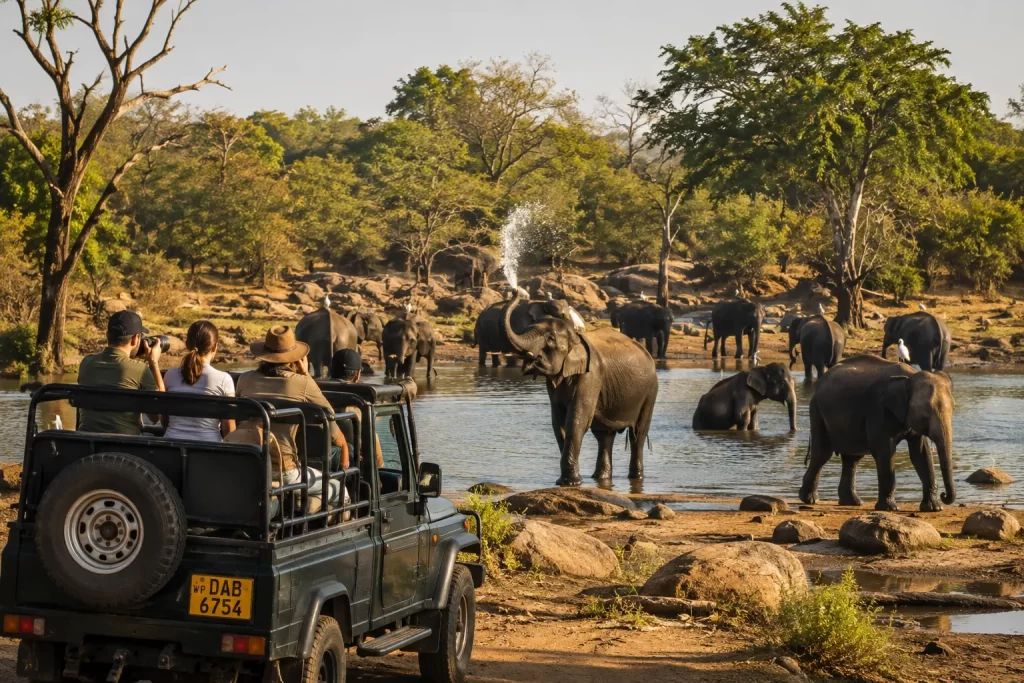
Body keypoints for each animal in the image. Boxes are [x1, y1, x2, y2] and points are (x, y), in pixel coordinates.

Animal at [501, 290, 659, 486]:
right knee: (604, 436)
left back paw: (635, 477)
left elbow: (576, 421)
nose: (516, 292)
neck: (576, 338)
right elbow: (559, 422)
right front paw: (567, 481)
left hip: (650, 391)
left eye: (550, 340)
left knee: (638, 434)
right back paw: (601, 478)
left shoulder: (591, 375)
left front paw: (571, 483)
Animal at [798, 355, 955, 512]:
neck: (909, 378)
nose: (944, 495)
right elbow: (884, 450)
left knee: (852, 458)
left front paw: (934, 508)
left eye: (953, 409)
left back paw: (852, 502)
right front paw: (890, 508)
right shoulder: (878, 409)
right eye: (926, 412)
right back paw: (810, 499)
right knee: (822, 454)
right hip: (817, 411)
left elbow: (921, 453)